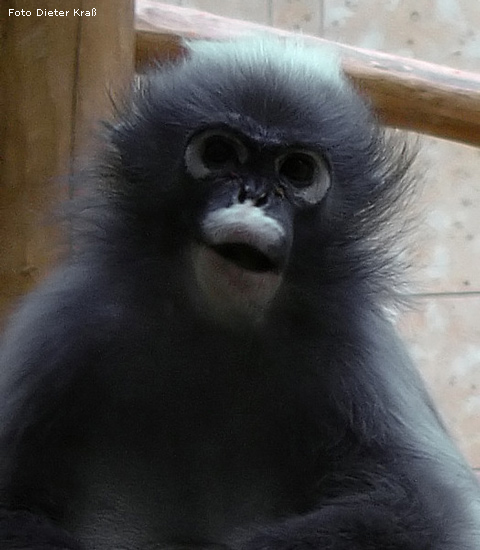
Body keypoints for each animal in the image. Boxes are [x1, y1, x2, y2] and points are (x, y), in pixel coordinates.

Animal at [0, 36, 480, 548]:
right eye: (218, 154)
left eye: (296, 170)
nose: (253, 196)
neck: (217, 322)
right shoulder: (70, 317)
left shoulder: (354, 342)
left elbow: (425, 509)